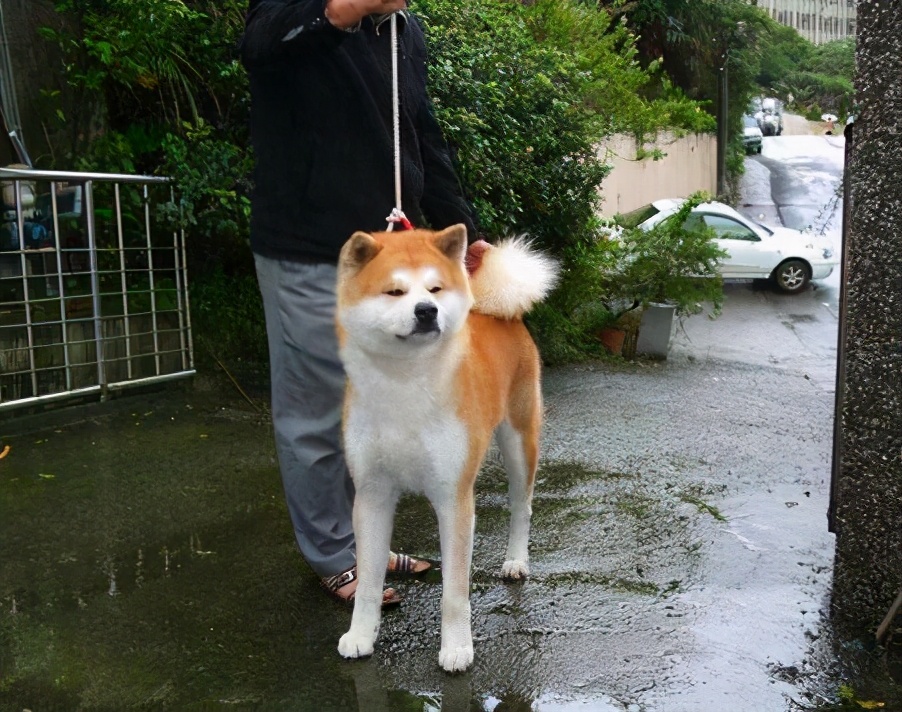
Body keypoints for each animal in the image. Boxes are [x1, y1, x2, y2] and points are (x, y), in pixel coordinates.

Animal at [334, 224, 556, 672]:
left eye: (434, 289)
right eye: (394, 291)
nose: (427, 311)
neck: (403, 383)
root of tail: (502, 314)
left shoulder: (453, 497)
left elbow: (454, 592)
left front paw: (456, 648)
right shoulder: (372, 494)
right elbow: (368, 583)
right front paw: (361, 634)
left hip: (519, 441)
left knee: (521, 507)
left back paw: (516, 561)